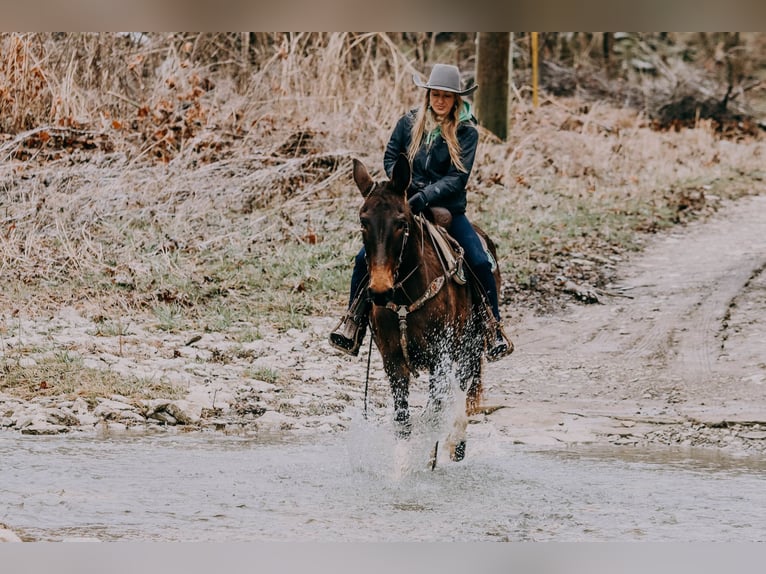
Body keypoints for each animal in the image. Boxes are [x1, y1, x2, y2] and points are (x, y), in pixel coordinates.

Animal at [352, 153, 500, 464]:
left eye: (400, 222)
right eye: (363, 221)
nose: (380, 290)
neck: (405, 299)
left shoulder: (439, 358)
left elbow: (434, 410)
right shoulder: (393, 361)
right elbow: (403, 420)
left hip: (470, 347)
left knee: (463, 387)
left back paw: (456, 444)